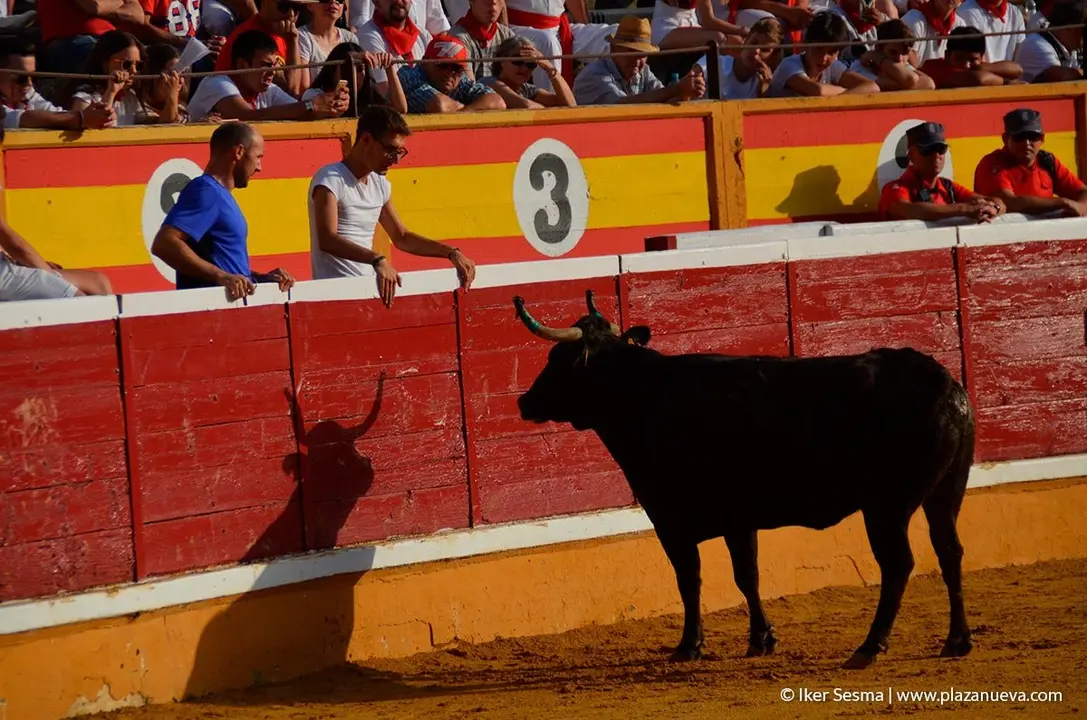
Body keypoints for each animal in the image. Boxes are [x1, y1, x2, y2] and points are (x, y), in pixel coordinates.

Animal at [512, 290, 976, 670]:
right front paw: (761, 639)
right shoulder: (739, 519)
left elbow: (690, 579)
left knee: (898, 565)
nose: (524, 402)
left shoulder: (670, 519)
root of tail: (946, 385)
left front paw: (689, 646)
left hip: (887, 507)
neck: (646, 395)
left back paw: (868, 648)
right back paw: (956, 641)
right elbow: (747, 575)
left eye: (557, 361)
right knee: (949, 551)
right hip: (946, 494)